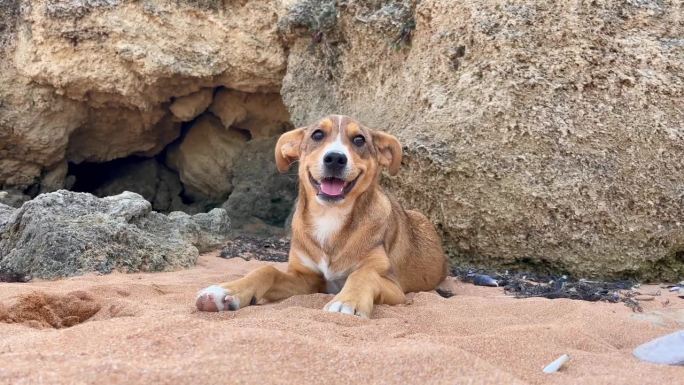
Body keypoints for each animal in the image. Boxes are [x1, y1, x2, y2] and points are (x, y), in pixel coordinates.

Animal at [195, 115, 448, 318]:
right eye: (317, 134)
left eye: (359, 140)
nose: (335, 158)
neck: (330, 217)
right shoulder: (307, 278)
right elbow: (266, 270)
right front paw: (225, 291)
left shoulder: (394, 286)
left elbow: (364, 275)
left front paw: (347, 302)